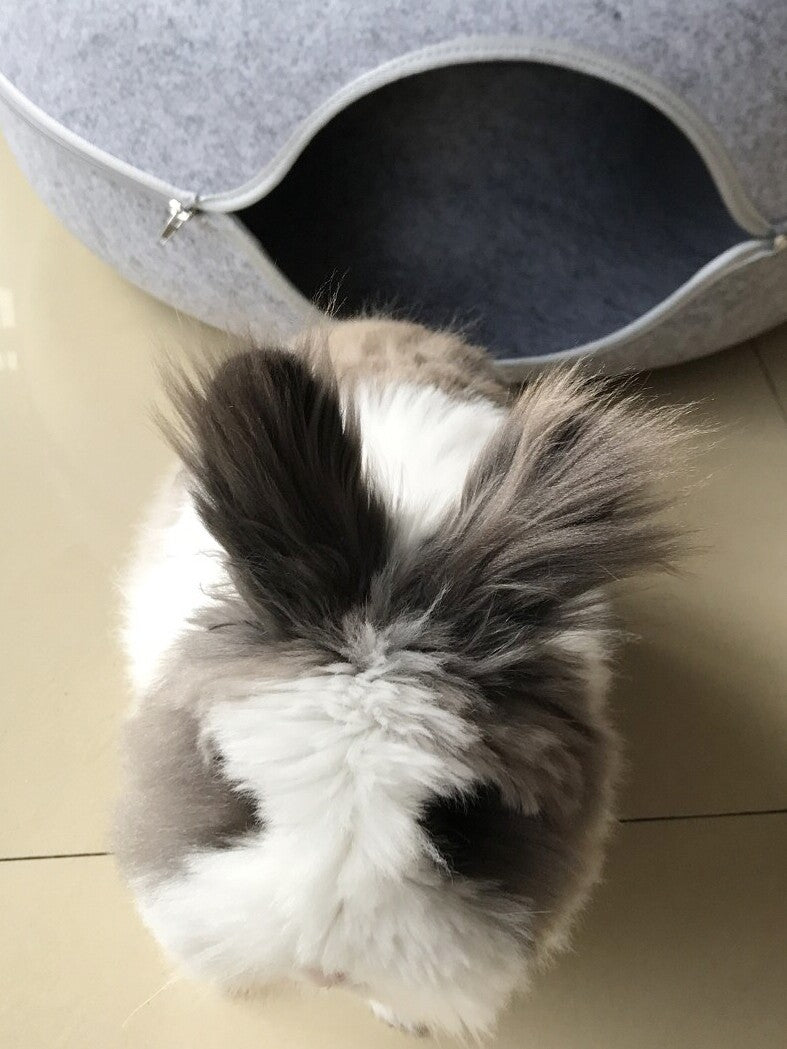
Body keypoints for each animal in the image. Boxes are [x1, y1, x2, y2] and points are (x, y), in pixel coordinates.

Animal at [115, 318, 683, 1038]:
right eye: (235, 787)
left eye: (457, 822)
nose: (324, 972)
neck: (400, 574)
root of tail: (377, 323)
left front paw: (399, 1015)